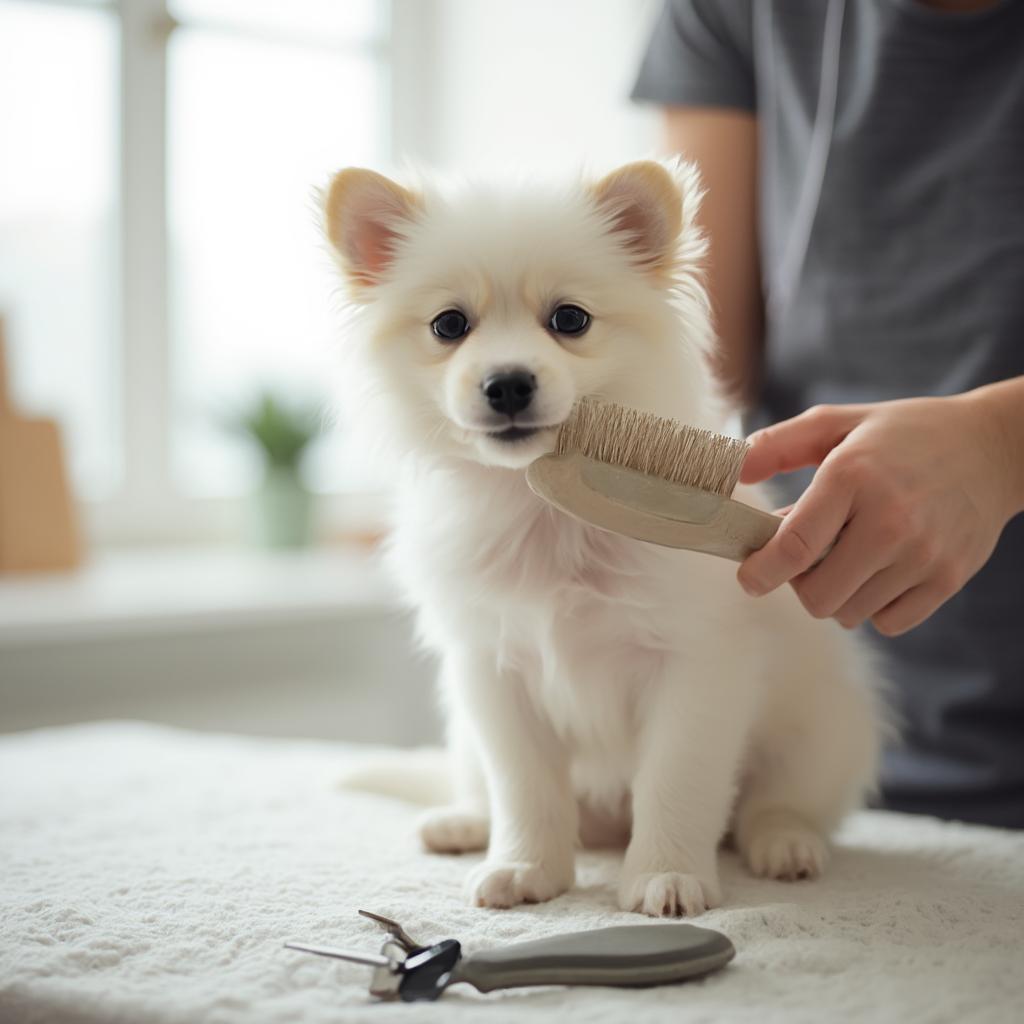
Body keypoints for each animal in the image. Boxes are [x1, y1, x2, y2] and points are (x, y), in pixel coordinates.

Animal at [323, 161, 884, 921]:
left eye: (570, 320)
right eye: (449, 325)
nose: (507, 383)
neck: (547, 514)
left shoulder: (696, 668)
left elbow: (676, 781)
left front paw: (665, 877)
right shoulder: (495, 674)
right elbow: (525, 786)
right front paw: (526, 868)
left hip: (820, 733)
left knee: (779, 804)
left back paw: (784, 843)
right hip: (465, 734)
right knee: (482, 788)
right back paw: (463, 824)